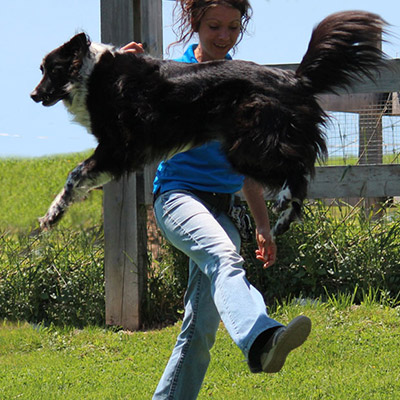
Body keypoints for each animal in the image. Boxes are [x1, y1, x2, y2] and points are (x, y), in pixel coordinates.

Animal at [31, 10, 388, 239]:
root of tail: (296, 78)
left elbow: (74, 175)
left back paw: (284, 204)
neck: (94, 74)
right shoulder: (120, 155)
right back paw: (283, 222)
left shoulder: (118, 148)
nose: (33, 95)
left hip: (248, 148)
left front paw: (51, 216)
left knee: (299, 169)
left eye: (51, 70)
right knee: (301, 171)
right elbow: (82, 178)